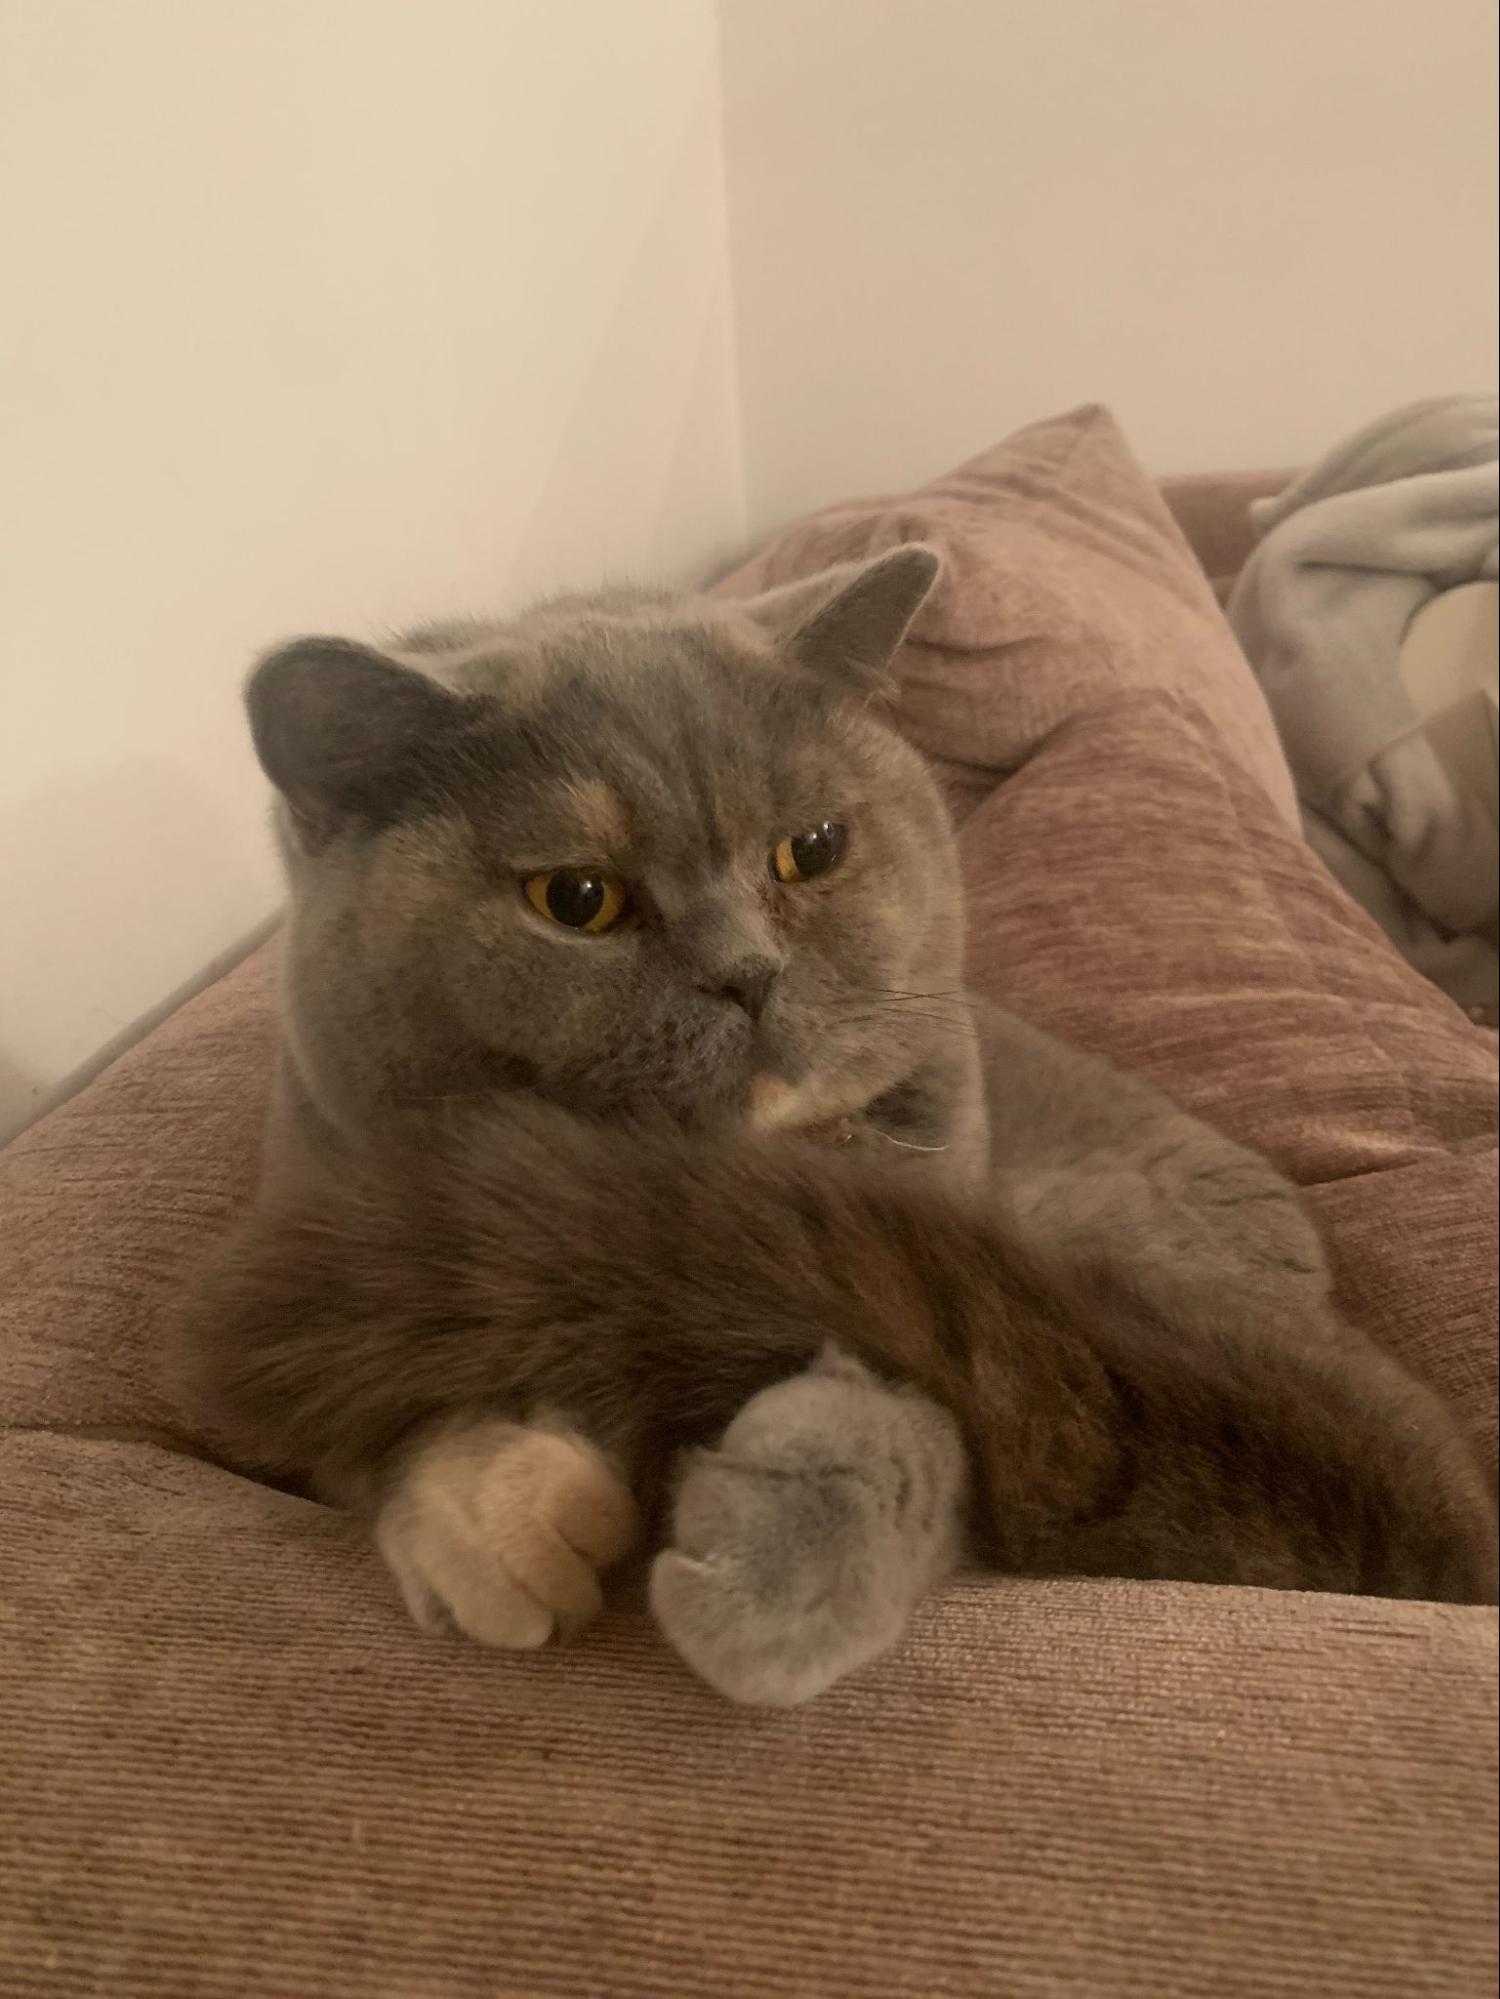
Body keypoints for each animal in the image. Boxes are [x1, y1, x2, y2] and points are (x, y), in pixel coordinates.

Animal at [173, 547, 1496, 1703]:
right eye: (576, 897)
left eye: (810, 850)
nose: (748, 974)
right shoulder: (333, 1216)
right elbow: (372, 1413)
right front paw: (501, 1518)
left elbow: (937, 1390)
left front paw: (778, 1556)